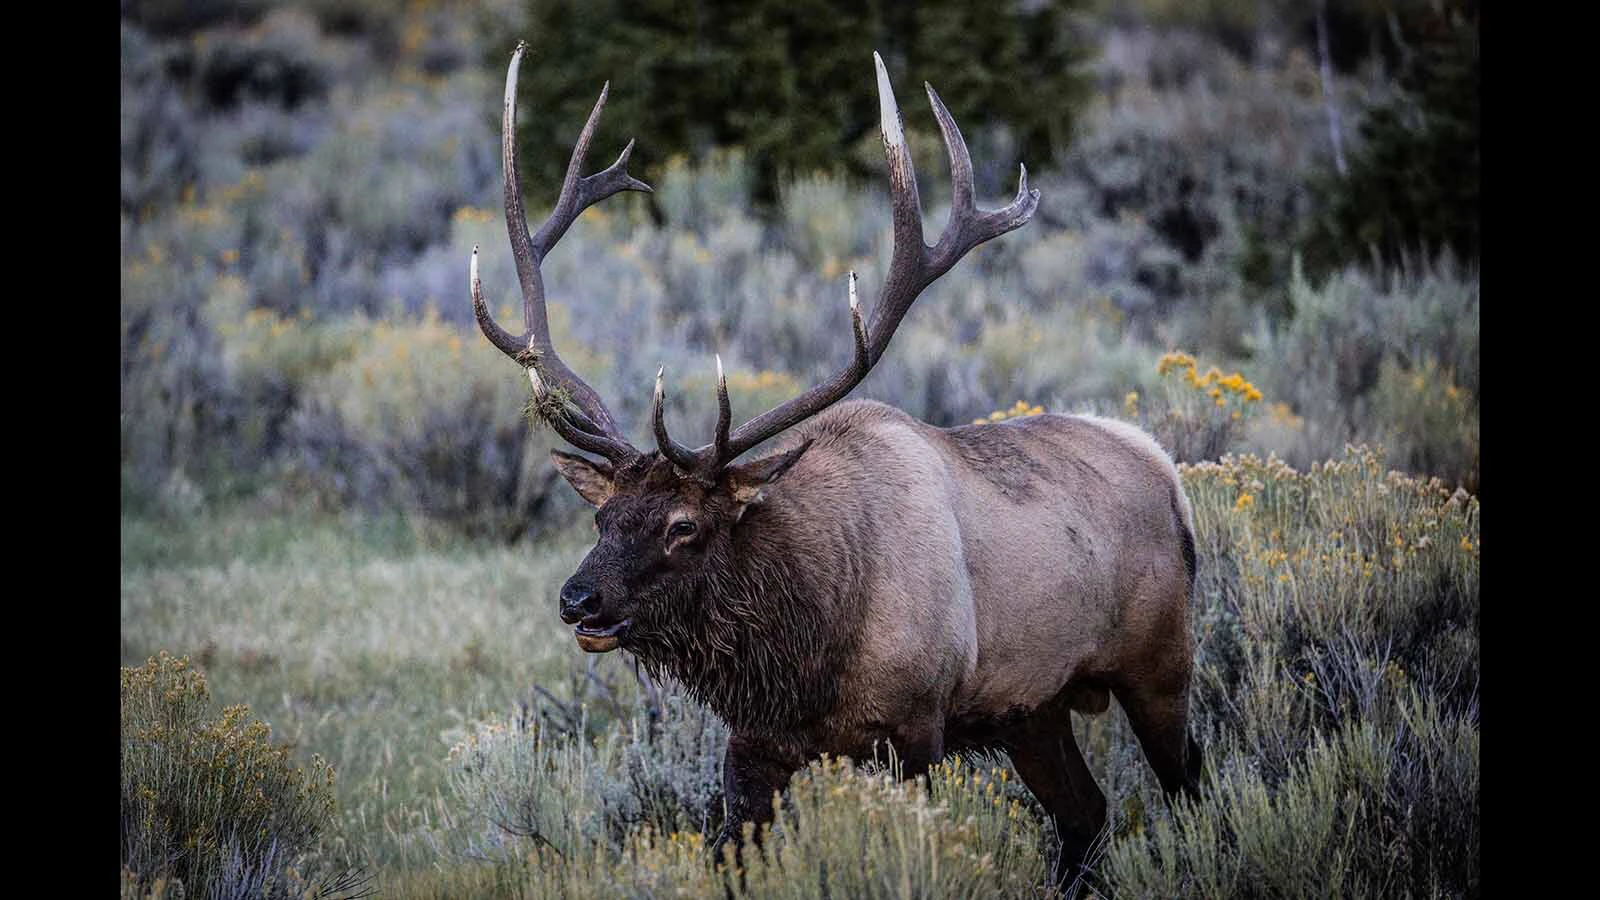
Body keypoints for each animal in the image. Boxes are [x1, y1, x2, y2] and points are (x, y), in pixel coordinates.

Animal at [470, 41, 1203, 890]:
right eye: (602, 516)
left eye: (684, 526)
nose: (577, 599)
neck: (809, 651)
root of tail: (1171, 478)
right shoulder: (756, 744)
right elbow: (731, 855)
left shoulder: (915, 729)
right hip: (1036, 709)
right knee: (1087, 815)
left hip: (1160, 665)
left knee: (1190, 788)